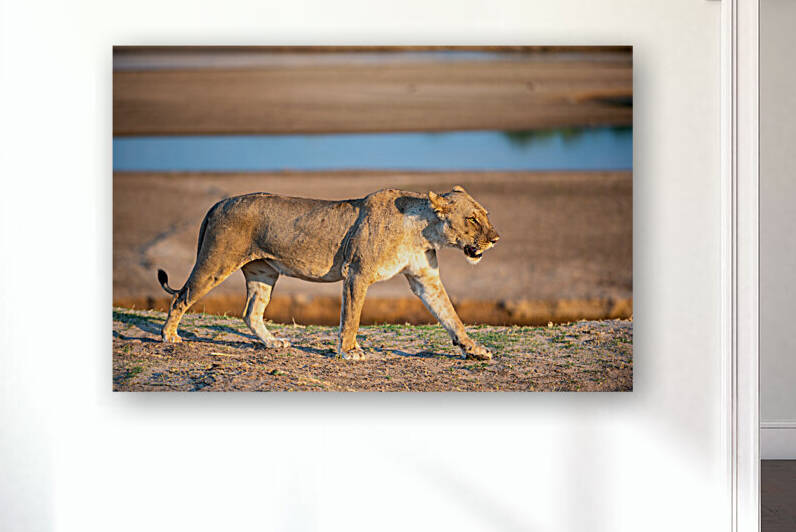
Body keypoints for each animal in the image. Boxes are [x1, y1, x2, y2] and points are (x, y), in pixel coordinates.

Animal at [157, 185, 500, 360]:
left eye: (485, 215)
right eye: (472, 219)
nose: (496, 238)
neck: (423, 232)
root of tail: (219, 202)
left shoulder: (425, 280)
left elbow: (450, 316)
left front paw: (475, 349)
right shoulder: (357, 273)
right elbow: (352, 318)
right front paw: (349, 351)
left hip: (263, 273)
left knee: (251, 313)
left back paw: (273, 343)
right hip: (216, 261)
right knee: (181, 297)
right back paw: (169, 336)